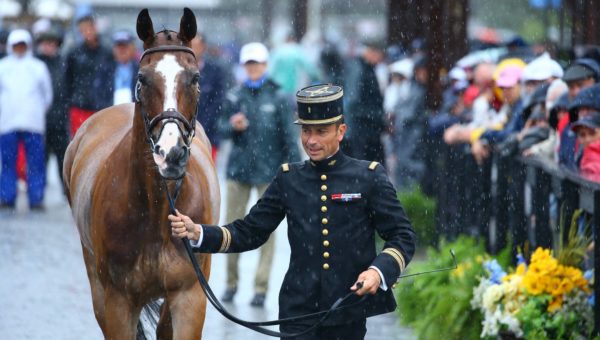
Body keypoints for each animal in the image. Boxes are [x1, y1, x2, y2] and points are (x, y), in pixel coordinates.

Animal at [63, 8, 218, 340]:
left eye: (195, 77)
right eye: (142, 78)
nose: (170, 152)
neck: (156, 211)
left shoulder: (189, 296)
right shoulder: (117, 301)